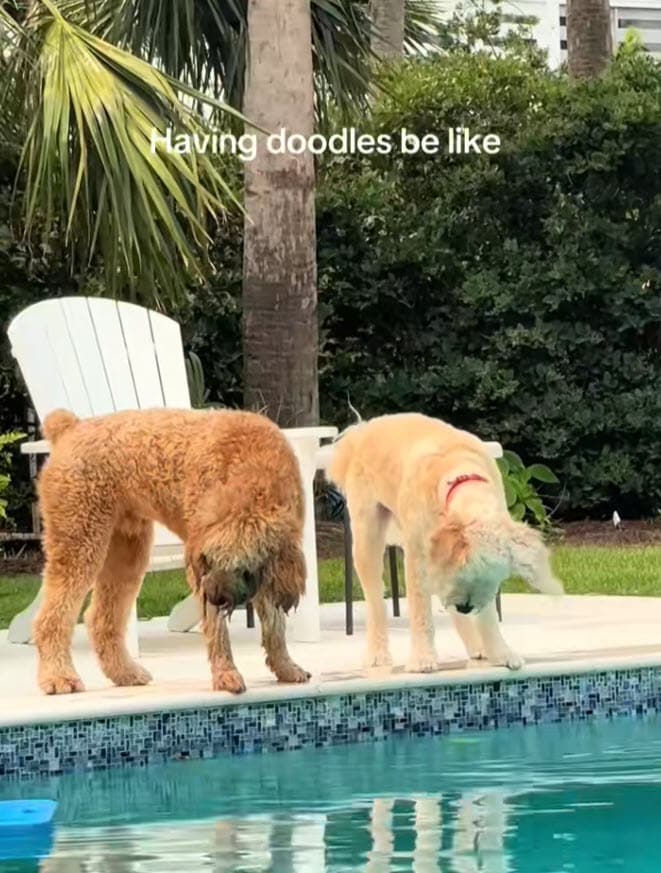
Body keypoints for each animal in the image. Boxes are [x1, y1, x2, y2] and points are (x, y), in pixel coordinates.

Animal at [34, 407, 311, 695]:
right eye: (211, 561)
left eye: (242, 568)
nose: (215, 598)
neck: (251, 474)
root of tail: (70, 427)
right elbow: (219, 631)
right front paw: (226, 674)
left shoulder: (268, 575)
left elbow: (275, 627)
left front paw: (285, 668)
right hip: (81, 542)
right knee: (51, 619)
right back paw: (59, 676)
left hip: (127, 553)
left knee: (101, 619)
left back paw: (125, 673)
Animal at [327, 412, 563, 674]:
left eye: (489, 579)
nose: (466, 607)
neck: (460, 473)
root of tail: (363, 430)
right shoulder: (419, 557)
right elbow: (421, 611)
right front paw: (422, 658)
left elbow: (488, 615)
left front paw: (500, 652)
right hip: (367, 537)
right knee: (376, 600)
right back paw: (378, 655)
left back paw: (476, 645)